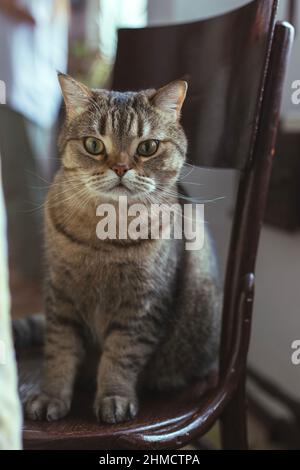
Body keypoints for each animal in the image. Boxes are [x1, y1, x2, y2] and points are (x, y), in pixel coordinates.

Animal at [24, 75, 221, 424]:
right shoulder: (61, 297)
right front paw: (51, 395)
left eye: (147, 147)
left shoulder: (142, 306)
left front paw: (114, 397)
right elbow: (59, 351)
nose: (119, 168)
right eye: (94, 145)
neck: (105, 239)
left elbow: (120, 357)